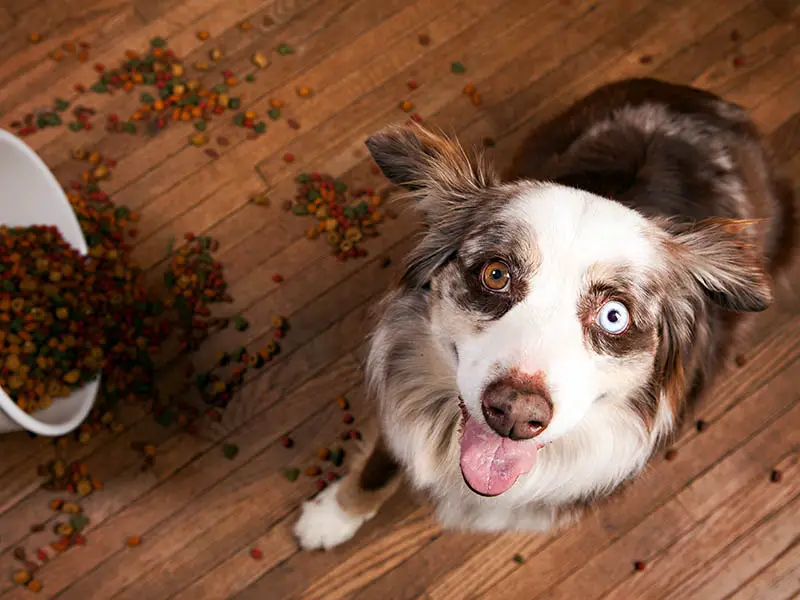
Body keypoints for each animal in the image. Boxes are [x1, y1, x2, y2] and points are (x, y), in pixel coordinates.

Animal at [292, 78, 792, 548]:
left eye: (614, 316)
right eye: (496, 274)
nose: (515, 414)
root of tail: (704, 101)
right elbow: (379, 465)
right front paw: (333, 516)